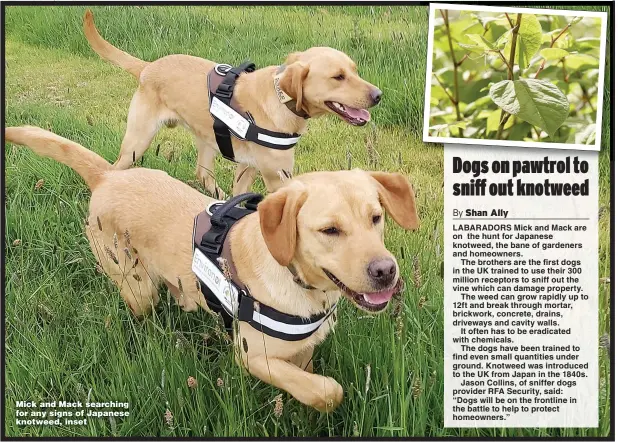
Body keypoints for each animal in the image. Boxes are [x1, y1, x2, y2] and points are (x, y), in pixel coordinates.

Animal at [3, 126, 418, 412]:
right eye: (330, 230)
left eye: (376, 218)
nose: (386, 271)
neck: (300, 284)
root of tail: (108, 176)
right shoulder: (254, 356)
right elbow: (329, 390)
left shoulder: (303, 350)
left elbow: (311, 379)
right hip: (136, 285)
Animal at [82, 9, 380, 197]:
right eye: (338, 77)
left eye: (355, 71)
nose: (378, 95)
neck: (280, 100)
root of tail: (148, 67)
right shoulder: (278, 178)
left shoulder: (247, 168)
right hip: (137, 143)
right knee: (113, 168)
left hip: (207, 139)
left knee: (204, 175)